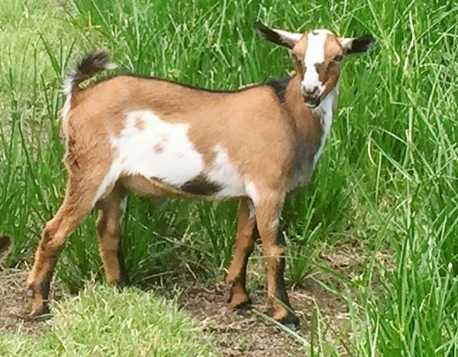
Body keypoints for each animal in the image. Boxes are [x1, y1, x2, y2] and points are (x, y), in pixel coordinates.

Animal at [26, 22, 374, 328]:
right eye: (296, 55)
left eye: (337, 57)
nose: (311, 92)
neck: (287, 114)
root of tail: (79, 96)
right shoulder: (268, 188)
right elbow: (275, 249)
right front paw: (285, 314)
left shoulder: (250, 193)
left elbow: (244, 241)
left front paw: (239, 298)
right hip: (91, 169)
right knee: (55, 231)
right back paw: (39, 305)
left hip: (116, 183)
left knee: (108, 231)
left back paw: (121, 290)